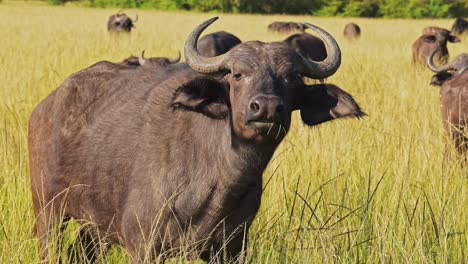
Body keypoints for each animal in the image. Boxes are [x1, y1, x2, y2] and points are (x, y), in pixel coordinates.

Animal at [29, 17, 366, 262]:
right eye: (237, 74)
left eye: (292, 77)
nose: (267, 107)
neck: (220, 177)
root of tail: (45, 107)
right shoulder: (144, 245)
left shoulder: (232, 248)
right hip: (47, 211)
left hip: (94, 227)